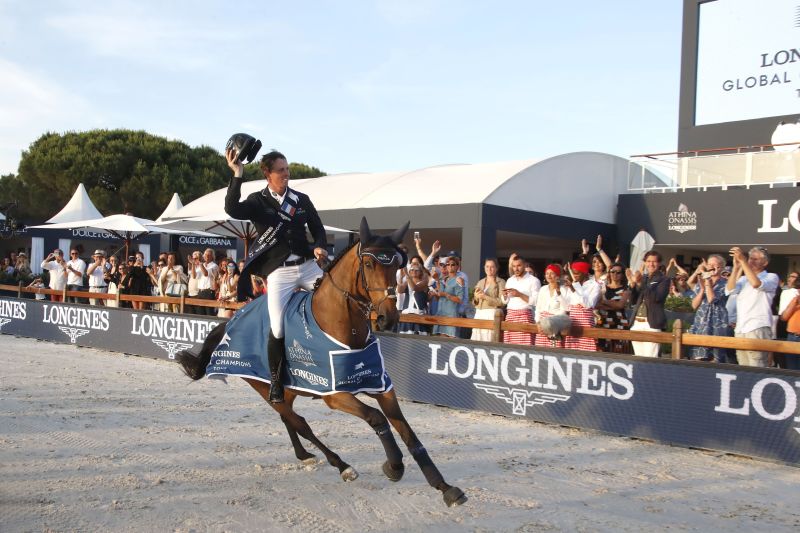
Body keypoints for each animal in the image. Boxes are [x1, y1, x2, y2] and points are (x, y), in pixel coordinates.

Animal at [172, 217, 466, 508]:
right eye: (369, 264)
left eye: (397, 265)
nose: (388, 318)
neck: (344, 327)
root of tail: (233, 320)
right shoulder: (335, 395)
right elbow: (377, 418)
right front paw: (394, 466)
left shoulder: (382, 387)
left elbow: (408, 432)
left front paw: (444, 487)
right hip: (265, 387)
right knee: (299, 422)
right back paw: (341, 465)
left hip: (289, 389)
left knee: (289, 419)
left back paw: (304, 454)